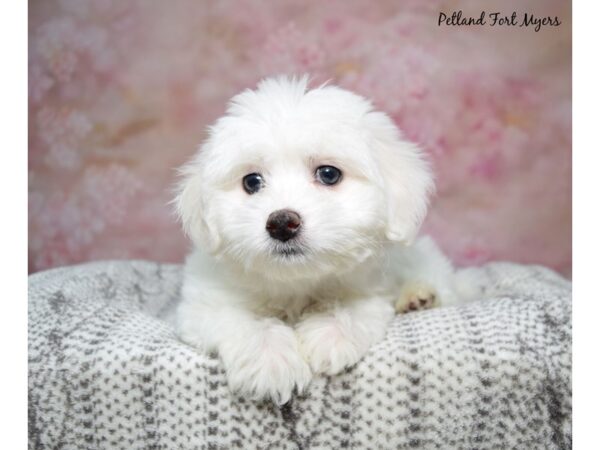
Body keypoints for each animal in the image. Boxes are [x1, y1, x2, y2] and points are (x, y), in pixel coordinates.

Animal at [175, 74, 468, 404]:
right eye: (251, 182)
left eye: (329, 174)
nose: (282, 223)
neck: (298, 280)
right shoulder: (203, 303)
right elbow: (239, 319)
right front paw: (271, 359)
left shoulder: (372, 287)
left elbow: (351, 305)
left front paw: (331, 334)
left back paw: (419, 296)